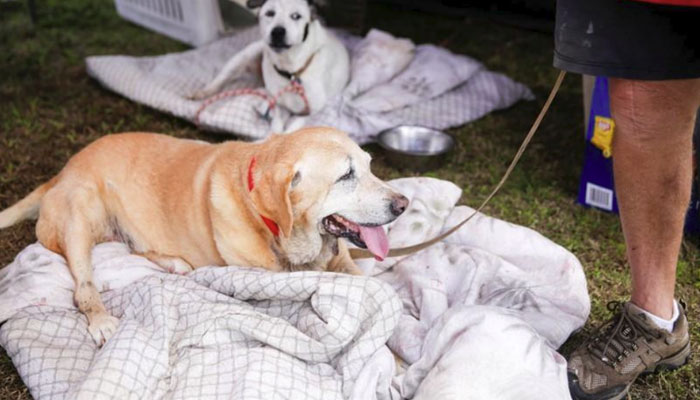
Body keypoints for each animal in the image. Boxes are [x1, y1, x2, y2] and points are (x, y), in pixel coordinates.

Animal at [0, 127, 408, 344]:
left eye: (370, 166)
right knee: (83, 286)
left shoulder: (342, 263)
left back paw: (173, 264)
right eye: (345, 176)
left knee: (135, 248)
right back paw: (100, 318)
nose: (403, 204)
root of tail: (61, 171)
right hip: (81, 214)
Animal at [191, 0, 350, 128]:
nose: (278, 32)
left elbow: (291, 129)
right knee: (219, 81)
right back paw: (200, 93)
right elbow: (276, 128)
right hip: (243, 56)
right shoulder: (278, 106)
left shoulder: (309, 112)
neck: (291, 71)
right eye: (270, 13)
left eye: (296, 16)